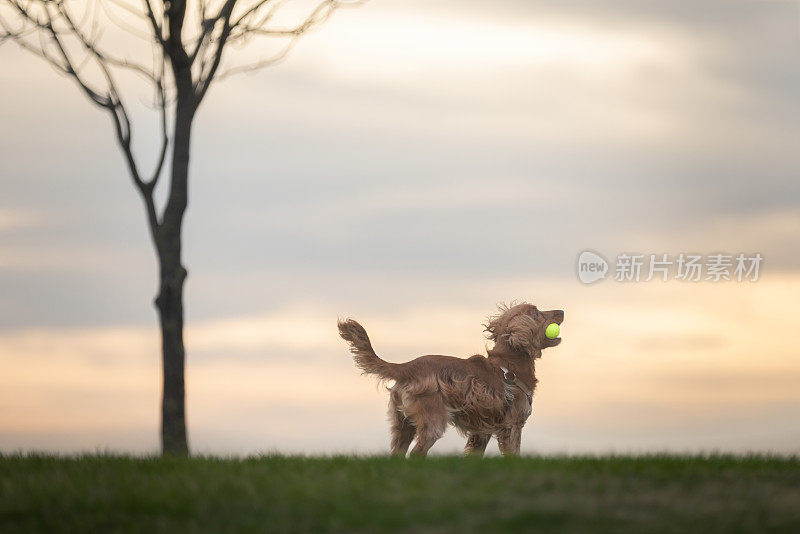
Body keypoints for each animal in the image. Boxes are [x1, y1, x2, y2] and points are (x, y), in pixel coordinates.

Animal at [338, 304, 564, 458]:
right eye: (536, 313)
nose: (562, 311)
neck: (509, 364)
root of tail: (408, 366)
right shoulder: (512, 426)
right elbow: (513, 453)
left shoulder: (481, 432)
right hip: (433, 421)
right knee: (417, 453)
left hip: (402, 425)